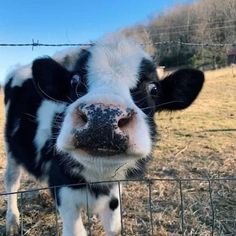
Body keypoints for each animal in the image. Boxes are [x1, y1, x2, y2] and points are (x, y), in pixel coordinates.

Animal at [2, 34, 204, 235]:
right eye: (74, 81)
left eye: (153, 89)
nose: (102, 118)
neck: (97, 177)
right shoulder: (63, 192)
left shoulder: (114, 194)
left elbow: (114, 227)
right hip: (11, 150)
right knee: (12, 182)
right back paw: (12, 222)